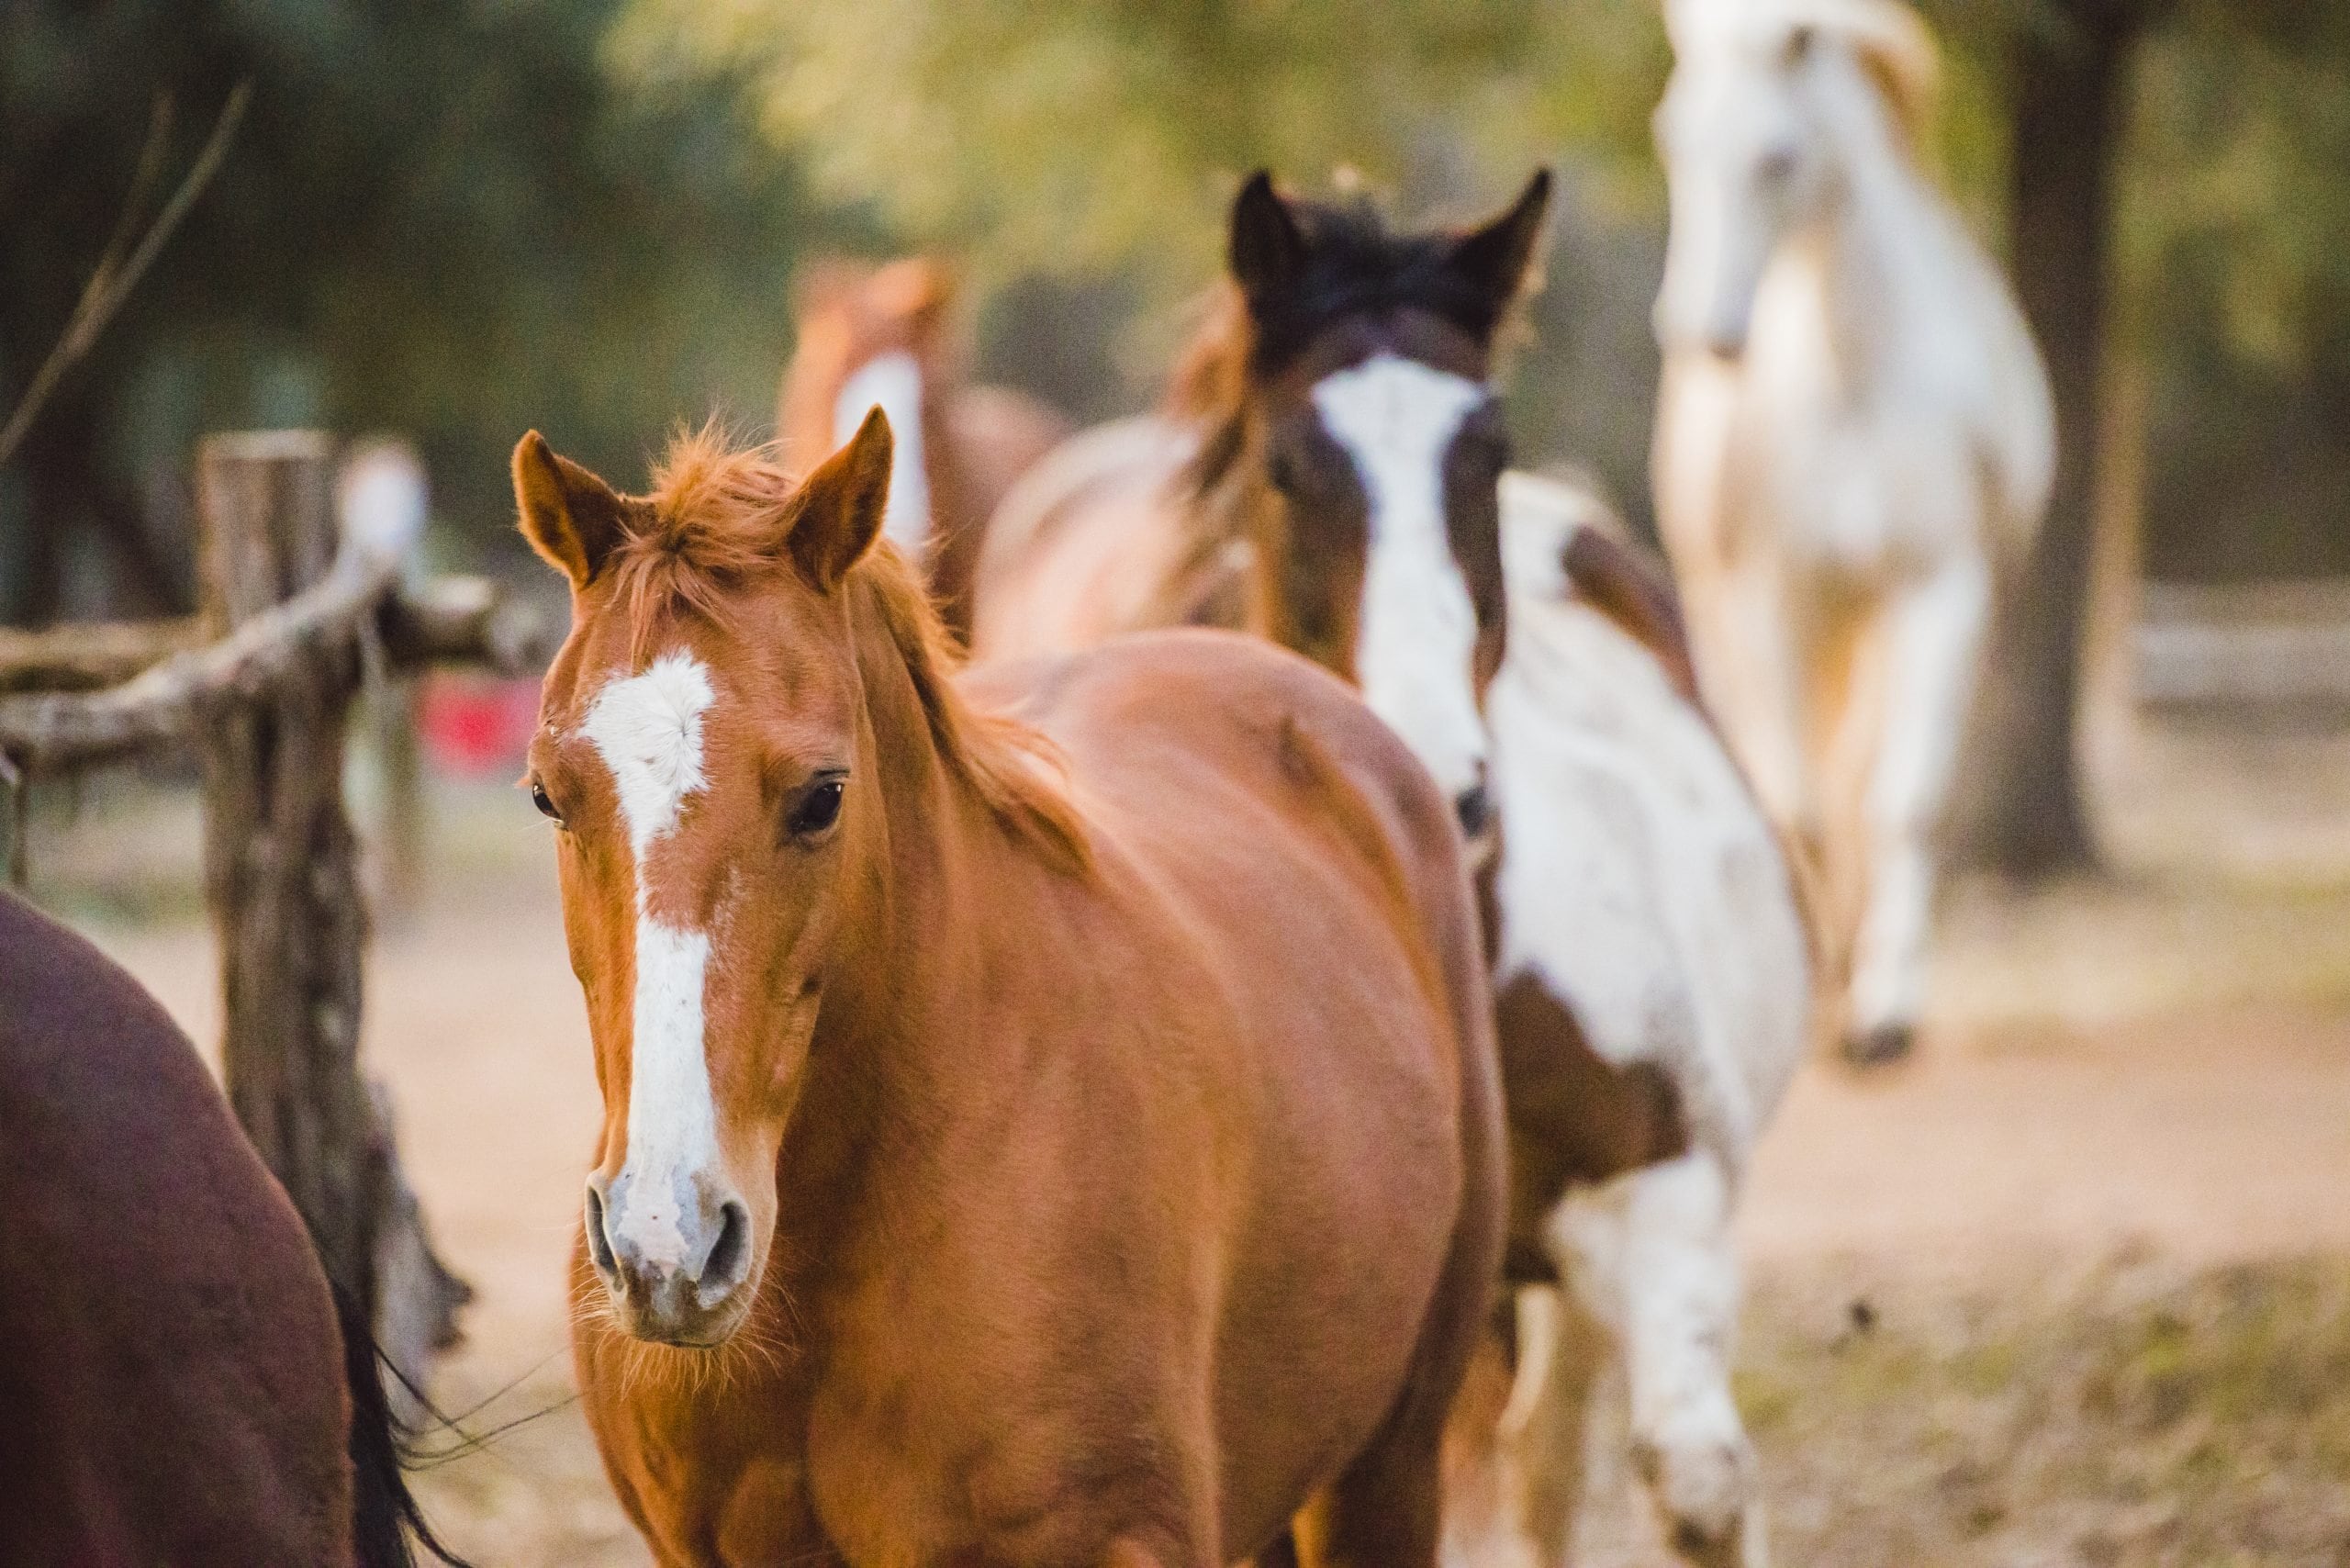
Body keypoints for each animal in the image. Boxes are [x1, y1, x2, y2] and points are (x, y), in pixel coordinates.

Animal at [1650, 0, 2054, 1064]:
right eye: (1672, 140)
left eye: (1778, 157)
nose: (1701, 332)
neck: (1858, 381)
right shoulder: (1774, 596)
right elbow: (1801, 807)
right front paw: (1826, 988)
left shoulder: (1941, 591)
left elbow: (1899, 800)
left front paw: (1883, 1015)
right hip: (1733, 614)